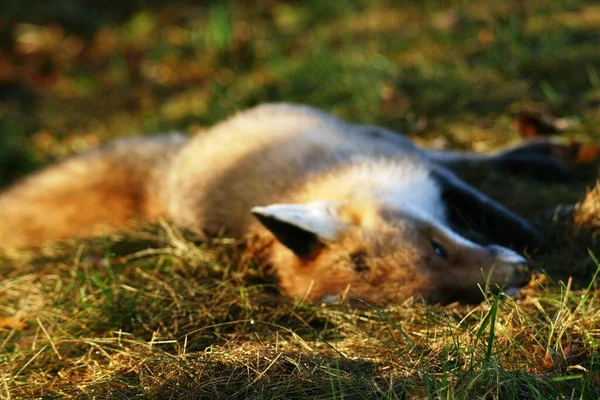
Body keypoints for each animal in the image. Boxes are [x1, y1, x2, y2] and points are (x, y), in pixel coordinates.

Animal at [0, 104, 572, 306]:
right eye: (439, 299)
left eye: (436, 247)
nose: (520, 273)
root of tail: (170, 168)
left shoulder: (413, 171)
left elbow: (481, 203)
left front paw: (536, 234)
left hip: (378, 132)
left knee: (456, 152)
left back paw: (536, 157)